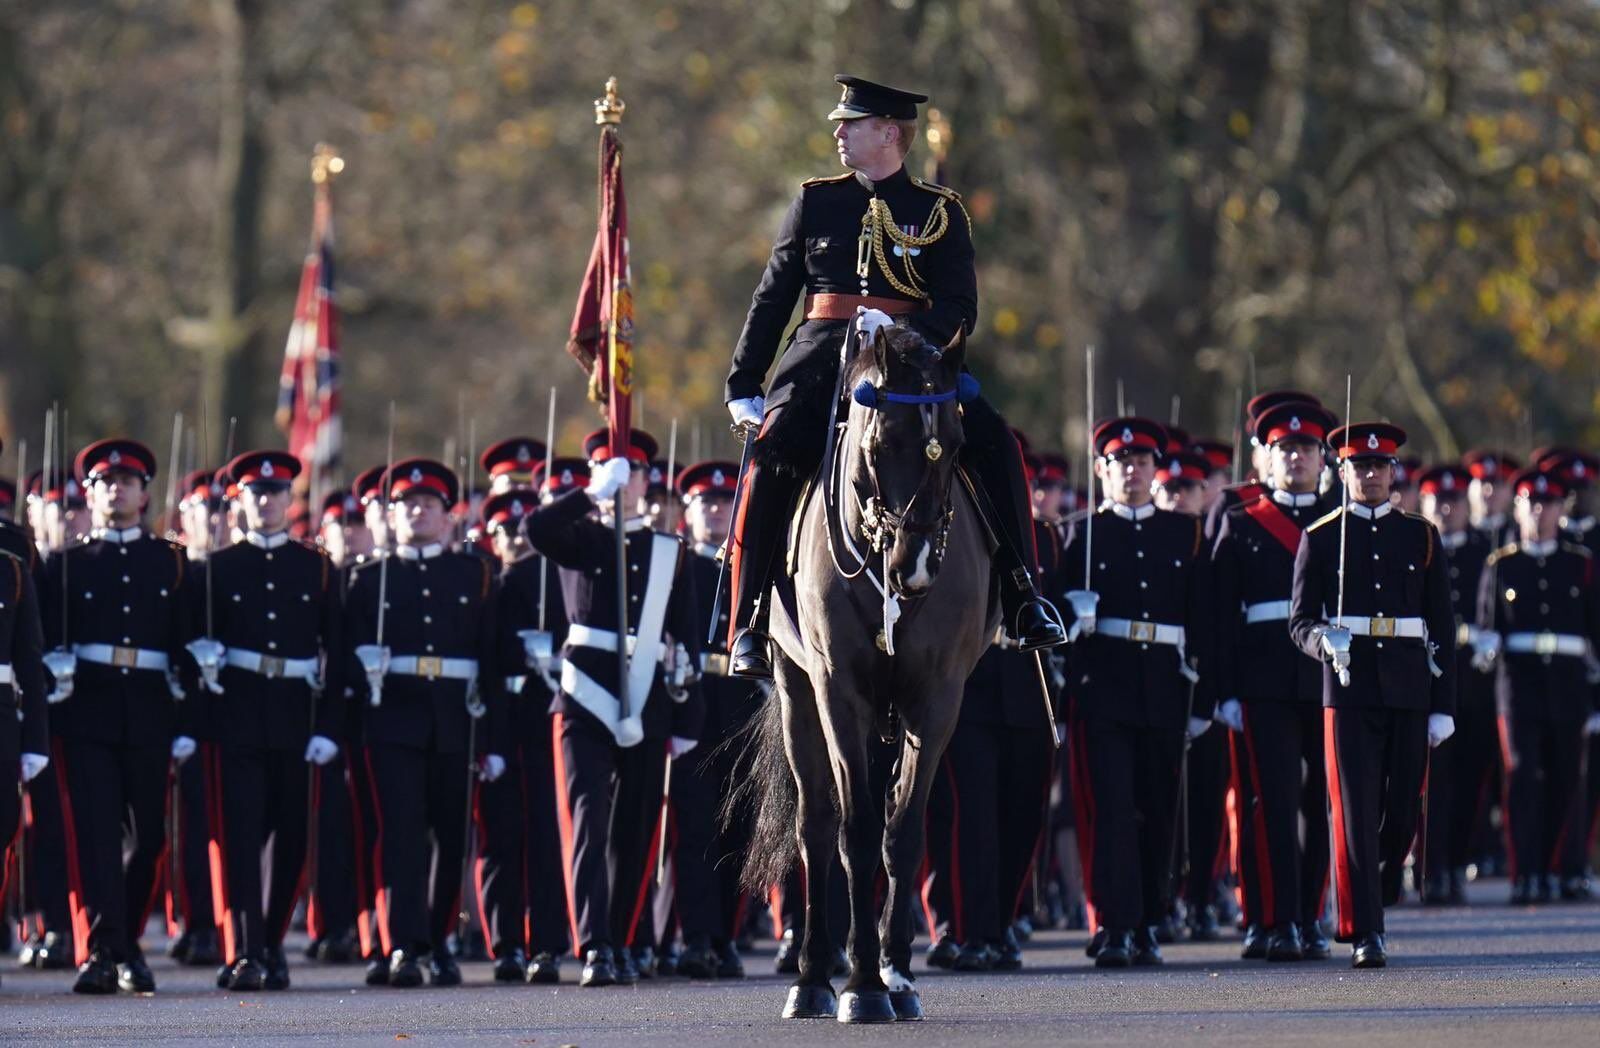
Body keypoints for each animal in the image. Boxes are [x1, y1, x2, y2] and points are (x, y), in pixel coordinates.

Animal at [739, 326, 992, 1024]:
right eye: (881, 444)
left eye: (956, 442)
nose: (919, 566)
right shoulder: (838, 691)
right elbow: (852, 830)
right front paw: (861, 986)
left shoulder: (938, 699)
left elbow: (901, 831)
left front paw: (893, 977)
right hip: (797, 692)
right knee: (816, 826)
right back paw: (812, 978)